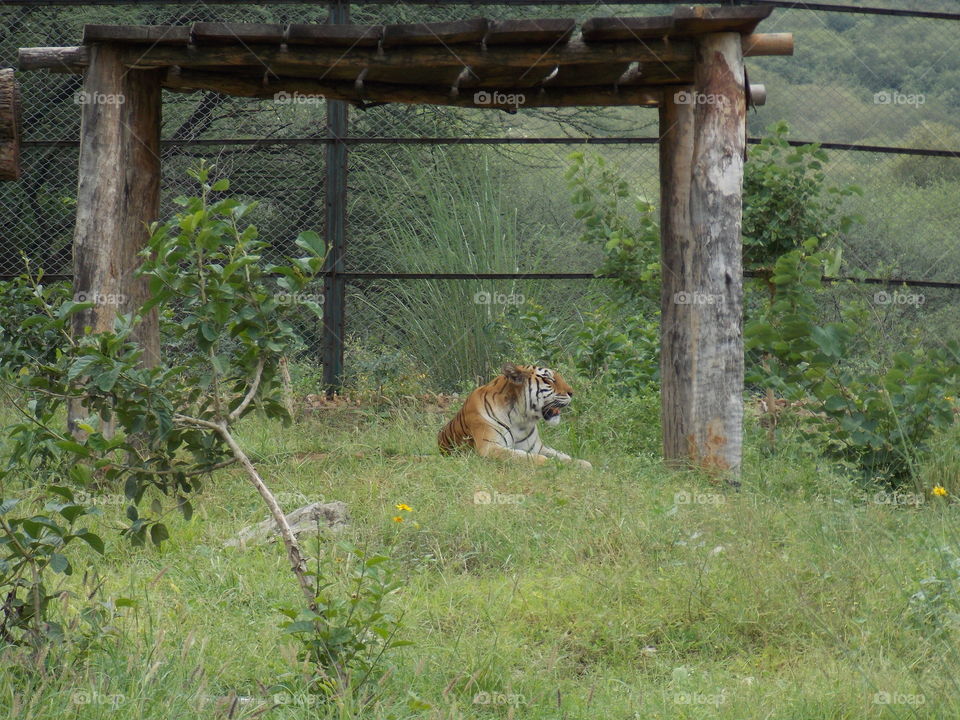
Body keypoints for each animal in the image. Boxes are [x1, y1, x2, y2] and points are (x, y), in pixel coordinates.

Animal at [437, 363, 592, 469]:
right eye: (548, 380)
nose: (572, 392)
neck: (521, 419)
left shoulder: (537, 447)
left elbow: (561, 455)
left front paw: (583, 464)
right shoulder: (489, 447)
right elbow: (526, 457)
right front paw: (553, 464)